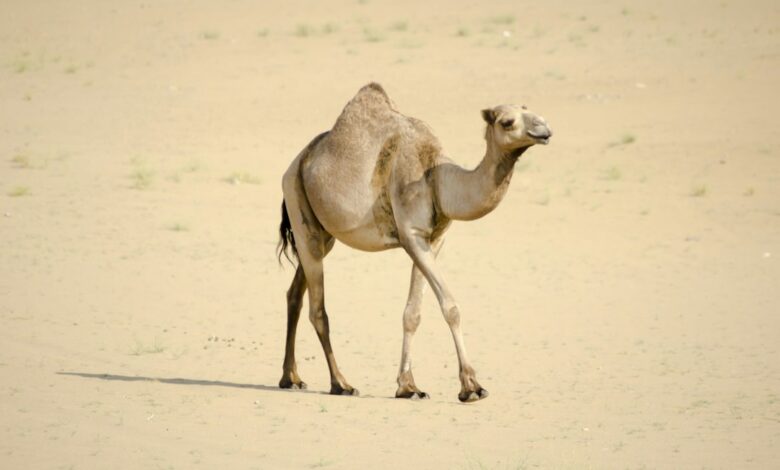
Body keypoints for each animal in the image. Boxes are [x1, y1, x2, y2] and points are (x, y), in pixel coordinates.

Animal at [277, 83, 551, 402]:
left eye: (531, 110)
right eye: (507, 122)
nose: (544, 129)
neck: (437, 177)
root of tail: (296, 163)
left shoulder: (434, 239)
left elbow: (413, 313)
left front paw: (408, 387)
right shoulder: (412, 234)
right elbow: (450, 306)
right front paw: (471, 387)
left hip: (321, 233)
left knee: (294, 294)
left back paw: (291, 378)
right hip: (298, 203)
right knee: (318, 309)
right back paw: (341, 383)